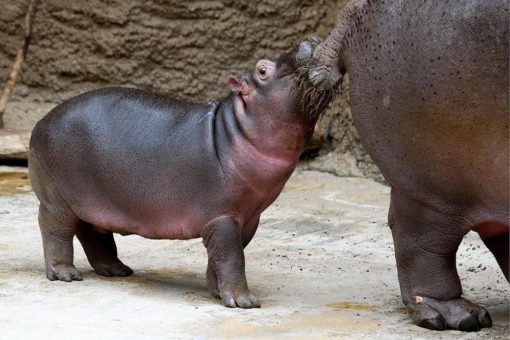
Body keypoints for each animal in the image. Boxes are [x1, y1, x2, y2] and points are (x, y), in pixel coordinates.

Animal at [29, 38, 336, 310]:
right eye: (262, 69)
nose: (309, 40)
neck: (236, 129)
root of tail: (41, 122)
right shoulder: (221, 216)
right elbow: (232, 257)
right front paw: (244, 302)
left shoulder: (249, 217)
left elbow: (221, 256)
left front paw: (217, 292)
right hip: (57, 201)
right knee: (55, 230)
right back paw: (66, 274)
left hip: (89, 203)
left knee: (91, 233)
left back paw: (118, 270)